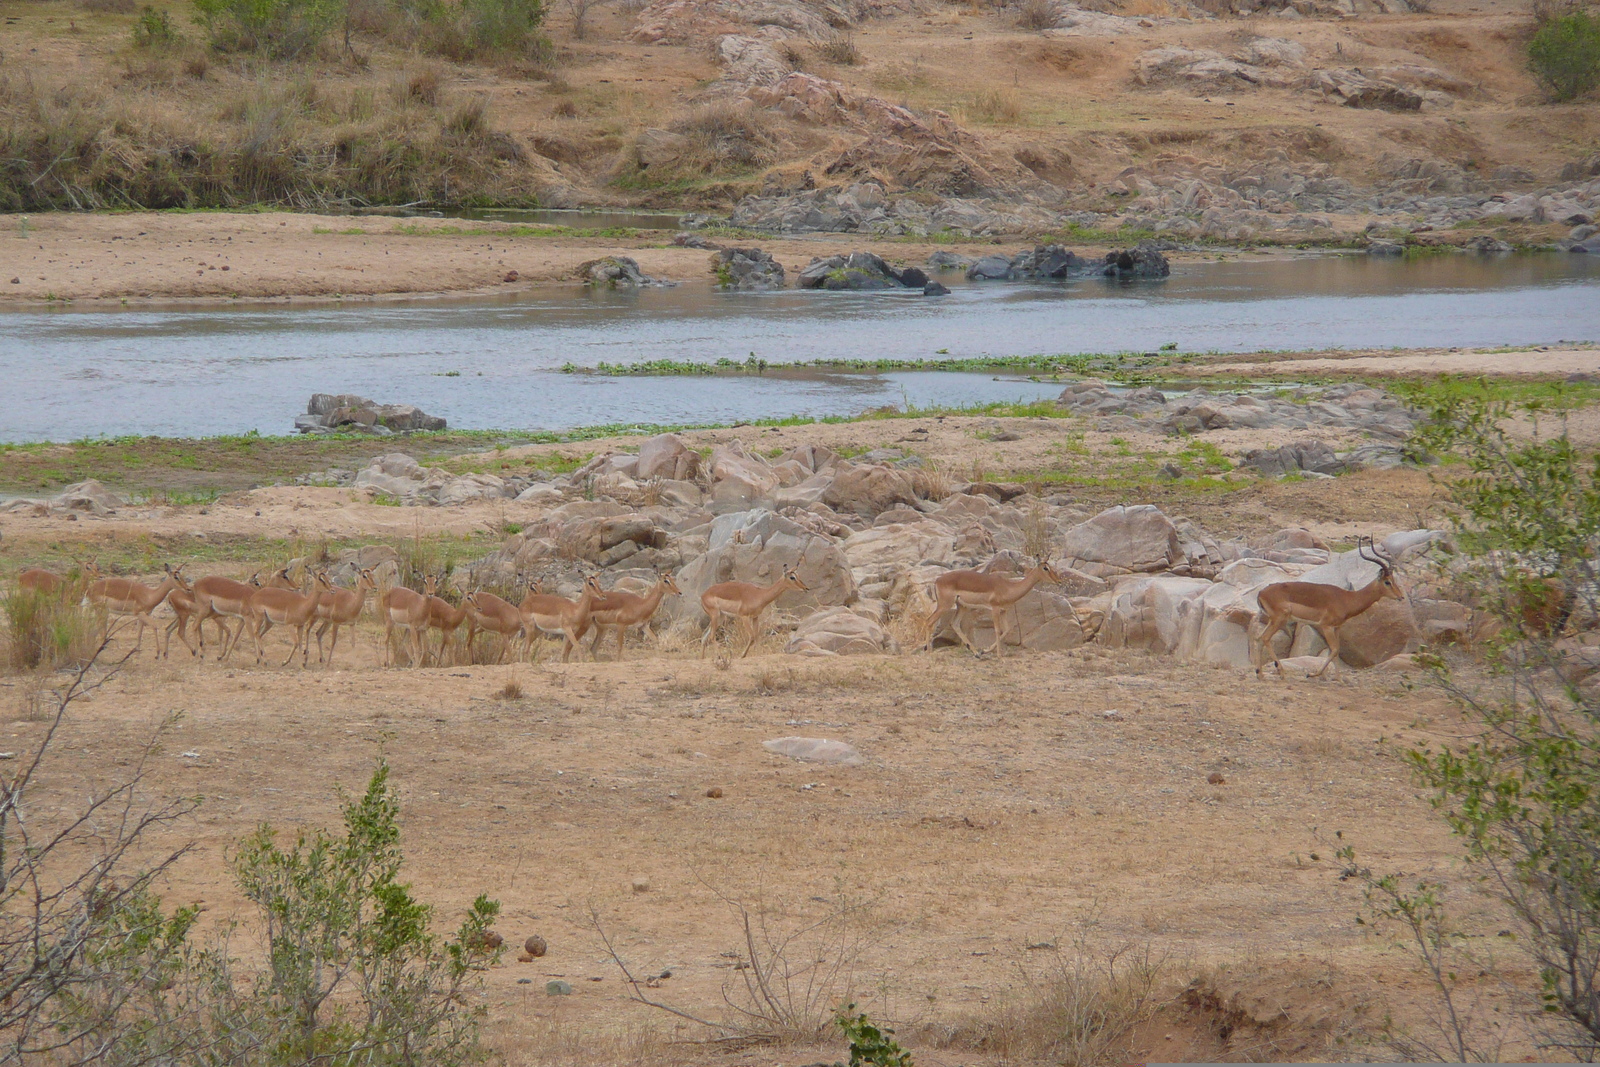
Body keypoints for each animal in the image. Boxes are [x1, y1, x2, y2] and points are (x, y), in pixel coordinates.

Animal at [921, 559, 1056, 659]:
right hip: (944, 606)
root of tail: (937, 580)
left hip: (962, 606)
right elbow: (997, 630)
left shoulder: (1003, 611)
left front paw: (984, 651)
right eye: (1045, 568)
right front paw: (999, 656)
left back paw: (976, 653)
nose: (1058, 580)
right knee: (928, 621)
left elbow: (1006, 630)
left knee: (954, 623)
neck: (1008, 587)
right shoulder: (995, 609)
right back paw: (928, 652)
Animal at [1248, 537, 1401, 681]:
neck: (1347, 598)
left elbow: (1337, 650)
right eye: (1387, 582)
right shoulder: (1326, 626)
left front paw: (1339, 679)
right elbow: (1333, 650)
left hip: (1273, 620)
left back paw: (1260, 674)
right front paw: (1312, 674)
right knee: (1265, 638)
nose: (1401, 596)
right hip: (1279, 619)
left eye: (1394, 580)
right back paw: (1281, 672)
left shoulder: (1337, 627)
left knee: (1259, 639)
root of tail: (1261, 592)